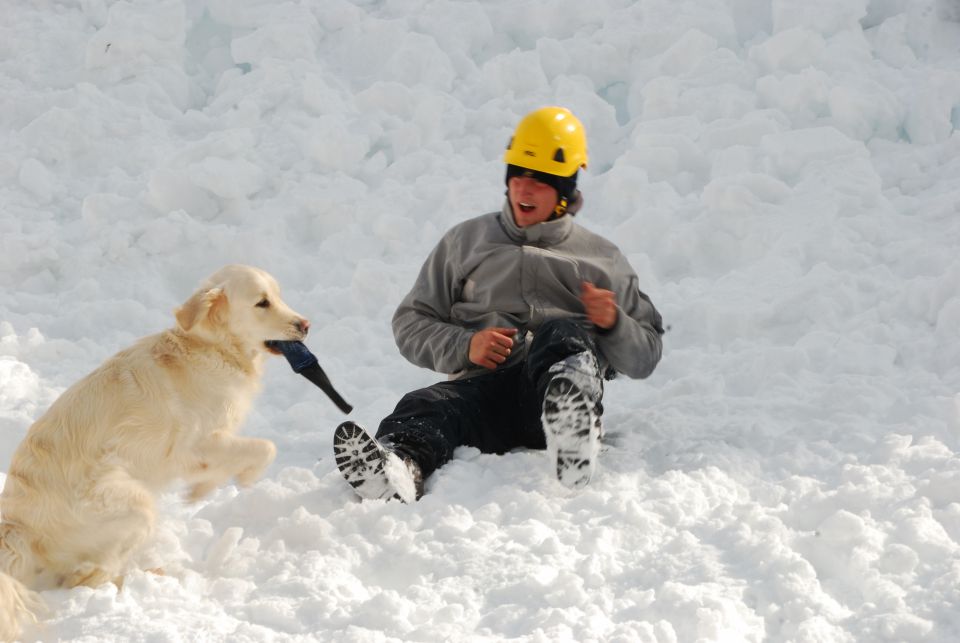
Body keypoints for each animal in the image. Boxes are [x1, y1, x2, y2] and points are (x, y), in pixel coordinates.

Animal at [0, 262, 308, 640]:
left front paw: (202, 488)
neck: (210, 347)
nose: (305, 325)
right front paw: (233, 480)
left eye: (278, 296)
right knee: (90, 575)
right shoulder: (192, 445)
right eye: (262, 303)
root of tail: (17, 529)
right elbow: (264, 447)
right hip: (135, 503)